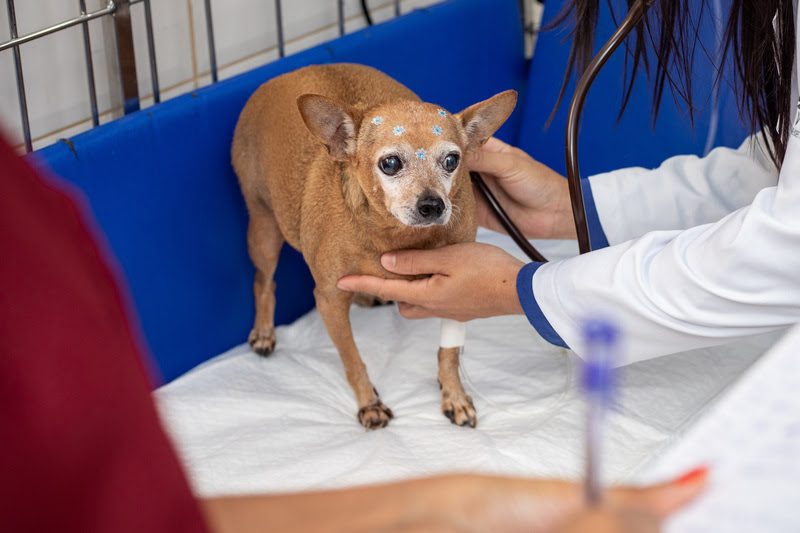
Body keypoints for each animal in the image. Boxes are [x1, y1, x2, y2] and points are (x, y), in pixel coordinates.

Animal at [231, 63, 520, 428]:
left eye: (452, 161)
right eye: (391, 163)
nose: (432, 205)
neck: (394, 235)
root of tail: (289, 71)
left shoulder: (458, 295)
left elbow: (449, 352)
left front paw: (453, 394)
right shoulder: (329, 300)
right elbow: (352, 359)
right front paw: (369, 402)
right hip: (264, 230)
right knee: (263, 281)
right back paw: (265, 332)